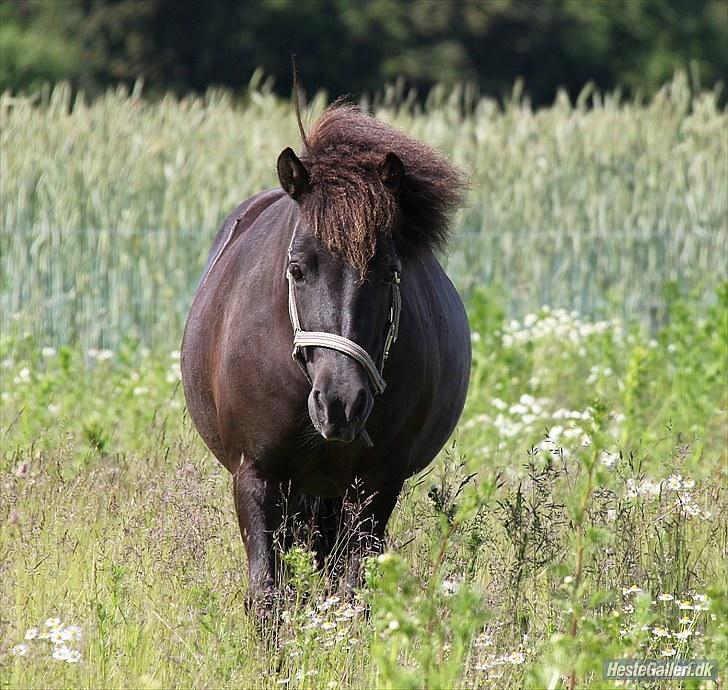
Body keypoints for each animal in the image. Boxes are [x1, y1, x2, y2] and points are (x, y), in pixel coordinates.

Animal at [182, 103, 472, 608]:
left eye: (388, 272)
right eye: (297, 268)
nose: (341, 403)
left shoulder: (376, 483)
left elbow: (353, 590)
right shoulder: (256, 476)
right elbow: (266, 593)